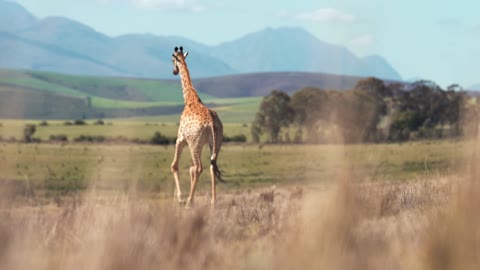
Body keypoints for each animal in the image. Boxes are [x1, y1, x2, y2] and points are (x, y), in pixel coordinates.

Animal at [170, 46, 224, 207]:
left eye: (172, 60)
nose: (174, 71)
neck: (190, 98)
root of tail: (211, 123)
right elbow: (191, 169)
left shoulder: (181, 138)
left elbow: (174, 165)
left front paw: (181, 198)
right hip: (216, 143)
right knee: (211, 166)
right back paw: (213, 201)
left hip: (195, 143)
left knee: (199, 167)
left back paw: (189, 202)